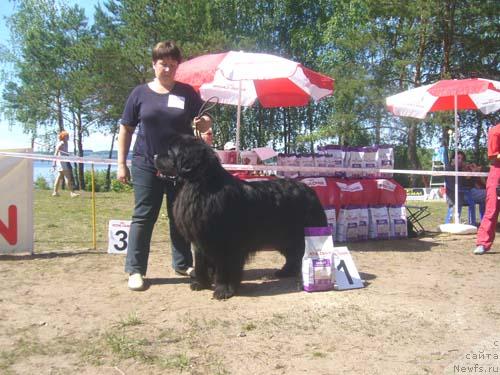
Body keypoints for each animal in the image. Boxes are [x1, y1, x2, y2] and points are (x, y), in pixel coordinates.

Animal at [156, 135, 328, 300]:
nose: (155, 155)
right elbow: (200, 263)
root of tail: (311, 191)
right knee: (293, 255)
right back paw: (285, 272)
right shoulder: (200, 240)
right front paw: (200, 284)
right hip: (284, 237)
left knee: (299, 253)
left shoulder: (226, 244)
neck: (200, 187)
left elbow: (224, 267)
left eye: (170, 151)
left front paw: (223, 290)